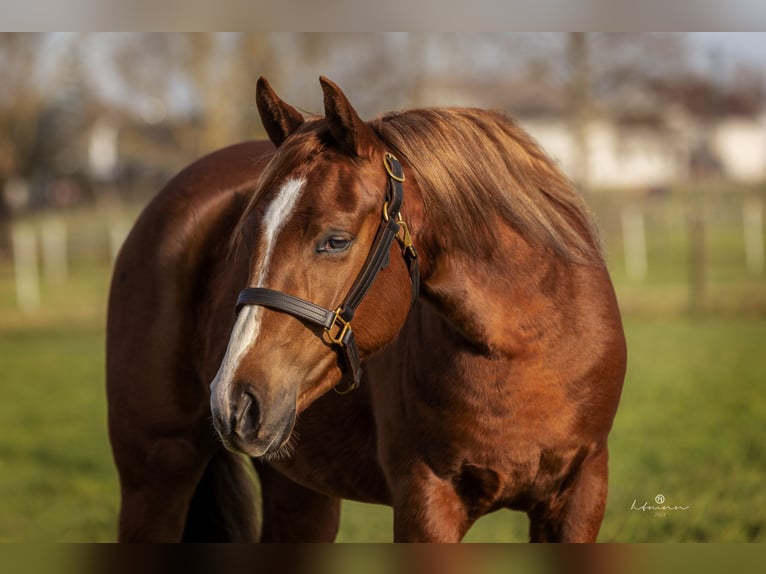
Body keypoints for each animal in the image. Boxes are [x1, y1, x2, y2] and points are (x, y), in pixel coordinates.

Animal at [105, 77, 628, 544]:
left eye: (335, 240)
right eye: (248, 236)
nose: (233, 400)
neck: (529, 345)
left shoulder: (580, 497)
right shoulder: (425, 504)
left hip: (299, 494)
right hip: (154, 476)